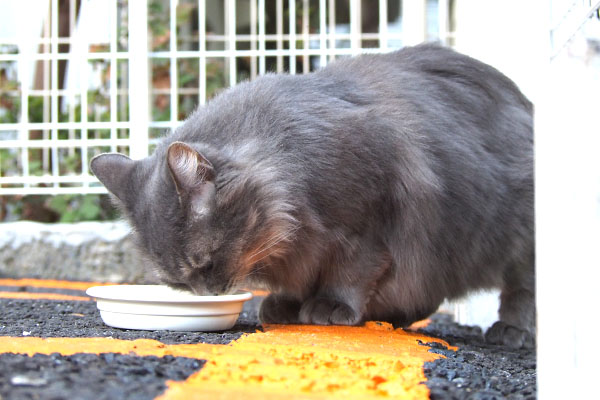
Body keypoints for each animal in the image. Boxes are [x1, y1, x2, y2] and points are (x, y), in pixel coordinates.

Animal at [90, 43, 536, 348]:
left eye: (205, 263)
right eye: (179, 283)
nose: (208, 295)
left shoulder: (369, 220)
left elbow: (351, 273)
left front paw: (329, 307)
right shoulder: (300, 251)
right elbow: (300, 279)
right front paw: (287, 306)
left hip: (517, 242)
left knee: (522, 290)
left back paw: (510, 331)